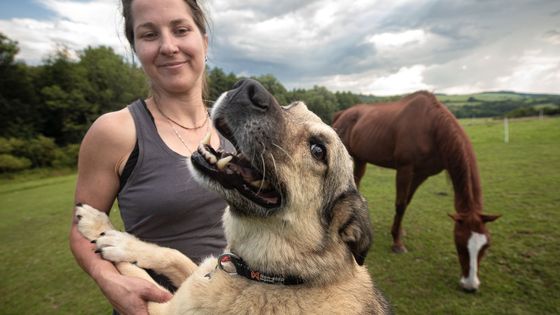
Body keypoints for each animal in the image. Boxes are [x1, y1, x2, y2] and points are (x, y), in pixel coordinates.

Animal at [76, 78, 392, 314]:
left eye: (318, 150)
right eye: (292, 105)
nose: (247, 87)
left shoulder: (159, 308)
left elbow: (137, 276)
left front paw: (106, 234)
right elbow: (172, 254)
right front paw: (112, 234)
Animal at [332, 90, 498, 292]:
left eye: (486, 246)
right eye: (459, 243)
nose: (470, 285)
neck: (431, 127)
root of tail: (341, 114)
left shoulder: (422, 174)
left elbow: (407, 202)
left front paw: (399, 231)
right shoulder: (405, 169)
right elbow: (400, 204)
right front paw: (397, 244)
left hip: (360, 159)